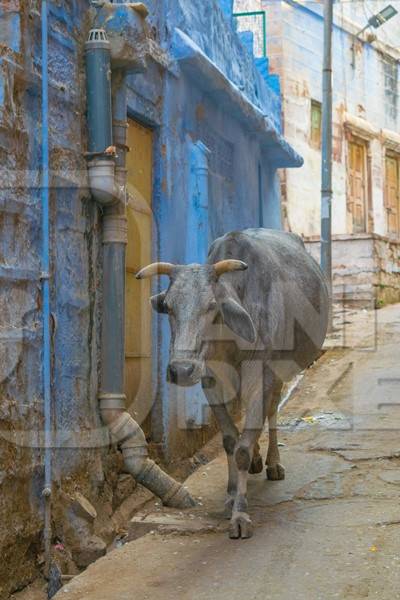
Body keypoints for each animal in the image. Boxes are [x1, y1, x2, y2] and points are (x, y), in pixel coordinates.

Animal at [136, 229, 330, 540]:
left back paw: (272, 462)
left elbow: (242, 447)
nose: (181, 370)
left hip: (278, 373)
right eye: (168, 307)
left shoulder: (261, 377)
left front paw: (241, 514)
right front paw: (230, 496)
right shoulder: (210, 382)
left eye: (212, 306)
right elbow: (230, 440)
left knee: (271, 412)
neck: (228, 341)